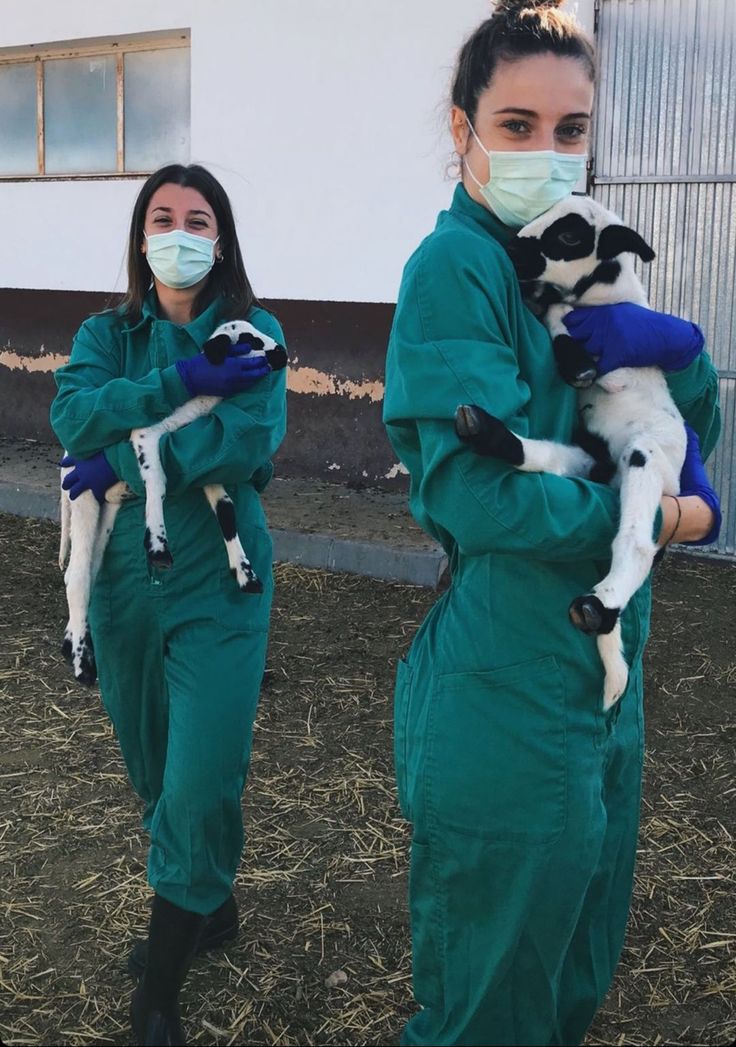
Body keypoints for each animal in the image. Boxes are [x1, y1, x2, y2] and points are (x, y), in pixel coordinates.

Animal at [60, 316, 286, 686]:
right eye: (250, 340)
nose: (282, 352)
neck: (198, 403)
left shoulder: (206, 466)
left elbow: (225, 509)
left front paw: (246, 575)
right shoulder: (145, 434)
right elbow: (158, 481)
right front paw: (158, 546)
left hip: (106, 513)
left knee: (91, 570)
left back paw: (73, 641)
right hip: (83, 497)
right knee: (76, 577)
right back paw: (82, 663)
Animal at [458, 193, 686, 707]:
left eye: (567, 236)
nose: (510, 248)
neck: (605, 296)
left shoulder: (621, 353)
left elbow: (562, 316)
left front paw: (578, 364)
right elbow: (552, 310)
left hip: (647, 457)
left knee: (635, 541)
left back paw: (598, 607)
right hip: (589, 461)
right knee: (549, 458)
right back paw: (485, 431)